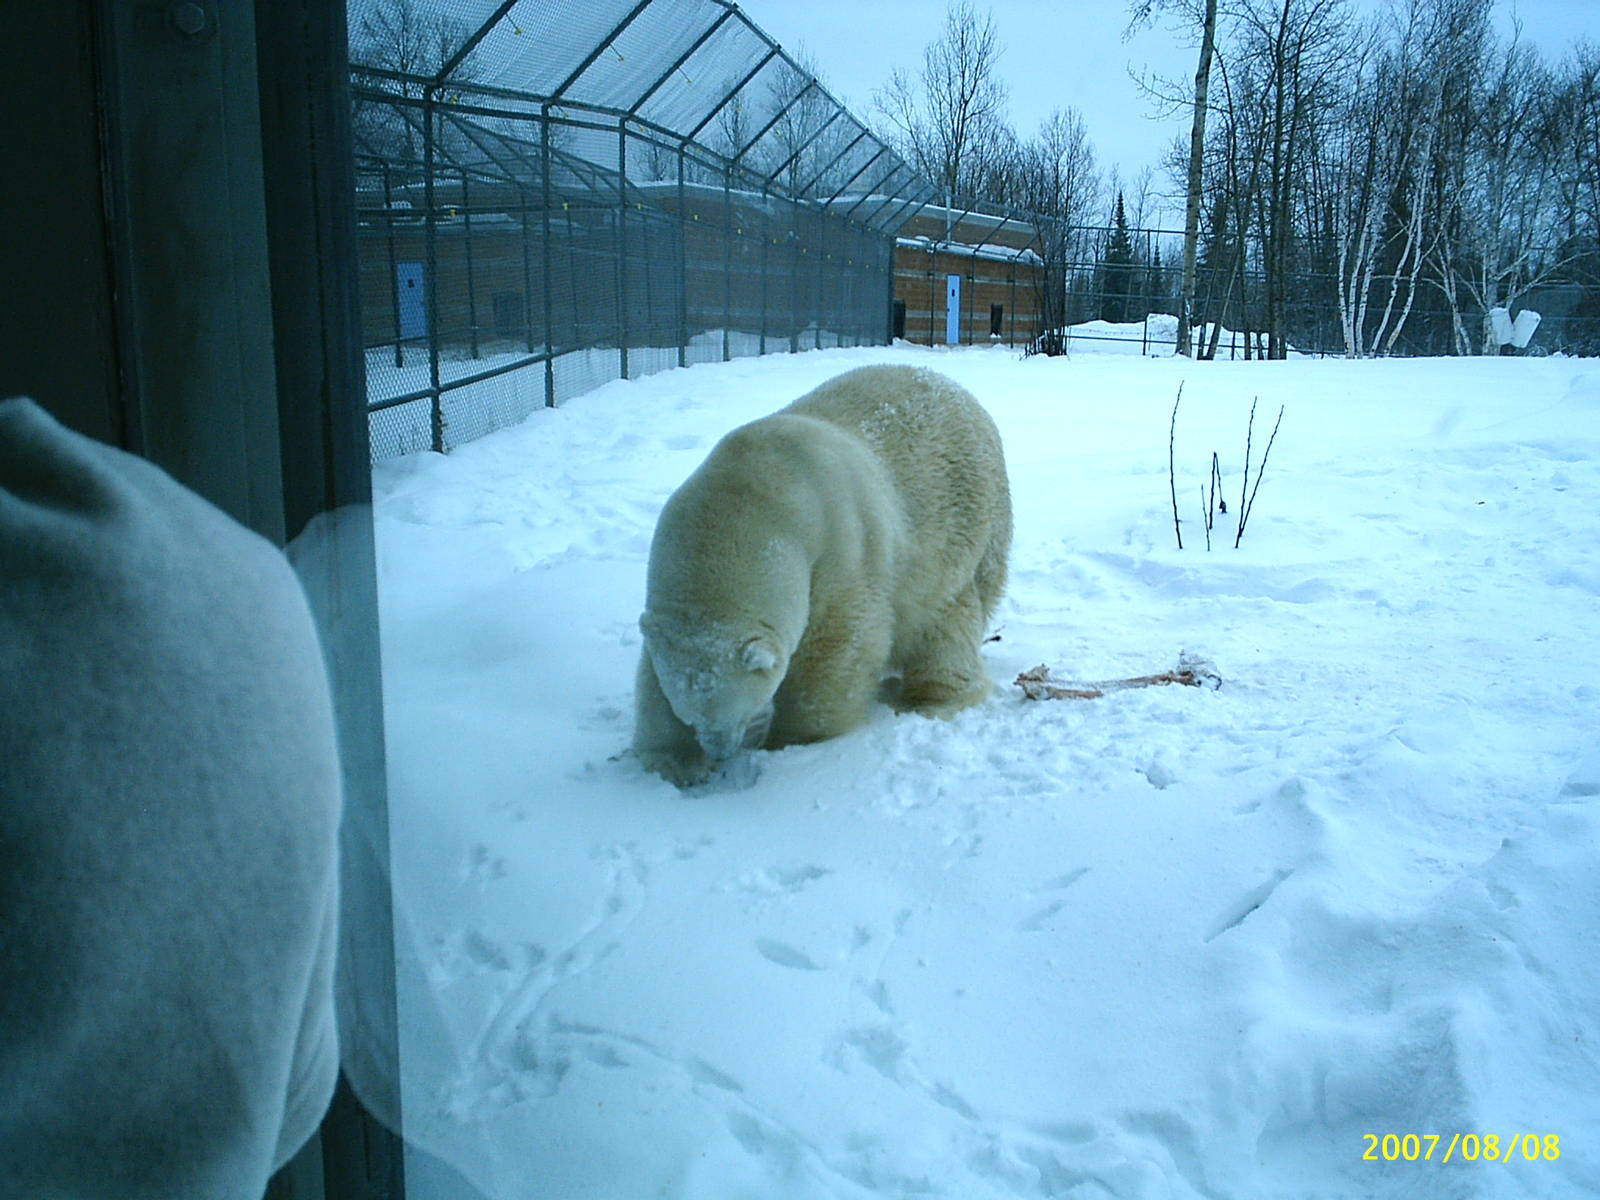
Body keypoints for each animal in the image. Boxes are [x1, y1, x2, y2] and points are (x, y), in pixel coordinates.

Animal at [633, 364, 1011, 788]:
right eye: (691, 716)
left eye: (742, 710)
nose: (720, 751)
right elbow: (652, 675)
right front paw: (674, 761)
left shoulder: (843, 546)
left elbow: (835, 649)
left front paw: (790, 742)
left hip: (966, 530)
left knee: (942, 620)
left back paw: (930, 700)